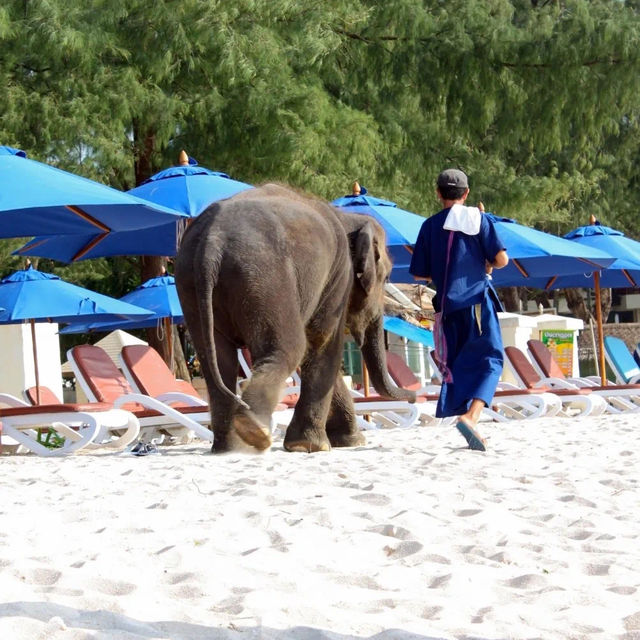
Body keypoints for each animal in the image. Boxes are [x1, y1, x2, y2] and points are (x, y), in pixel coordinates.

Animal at [175, 182, 416, 452]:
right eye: (386, 278)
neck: (347, 217)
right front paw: (312, 445)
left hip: (190, 284)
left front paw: (348, 441)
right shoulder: (338, 277)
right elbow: (323, 341)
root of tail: (211, 245)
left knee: (216, 360)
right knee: (290, 347)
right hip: (265, 276)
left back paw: (231, 448)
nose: (414, 397)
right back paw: (254, 430)